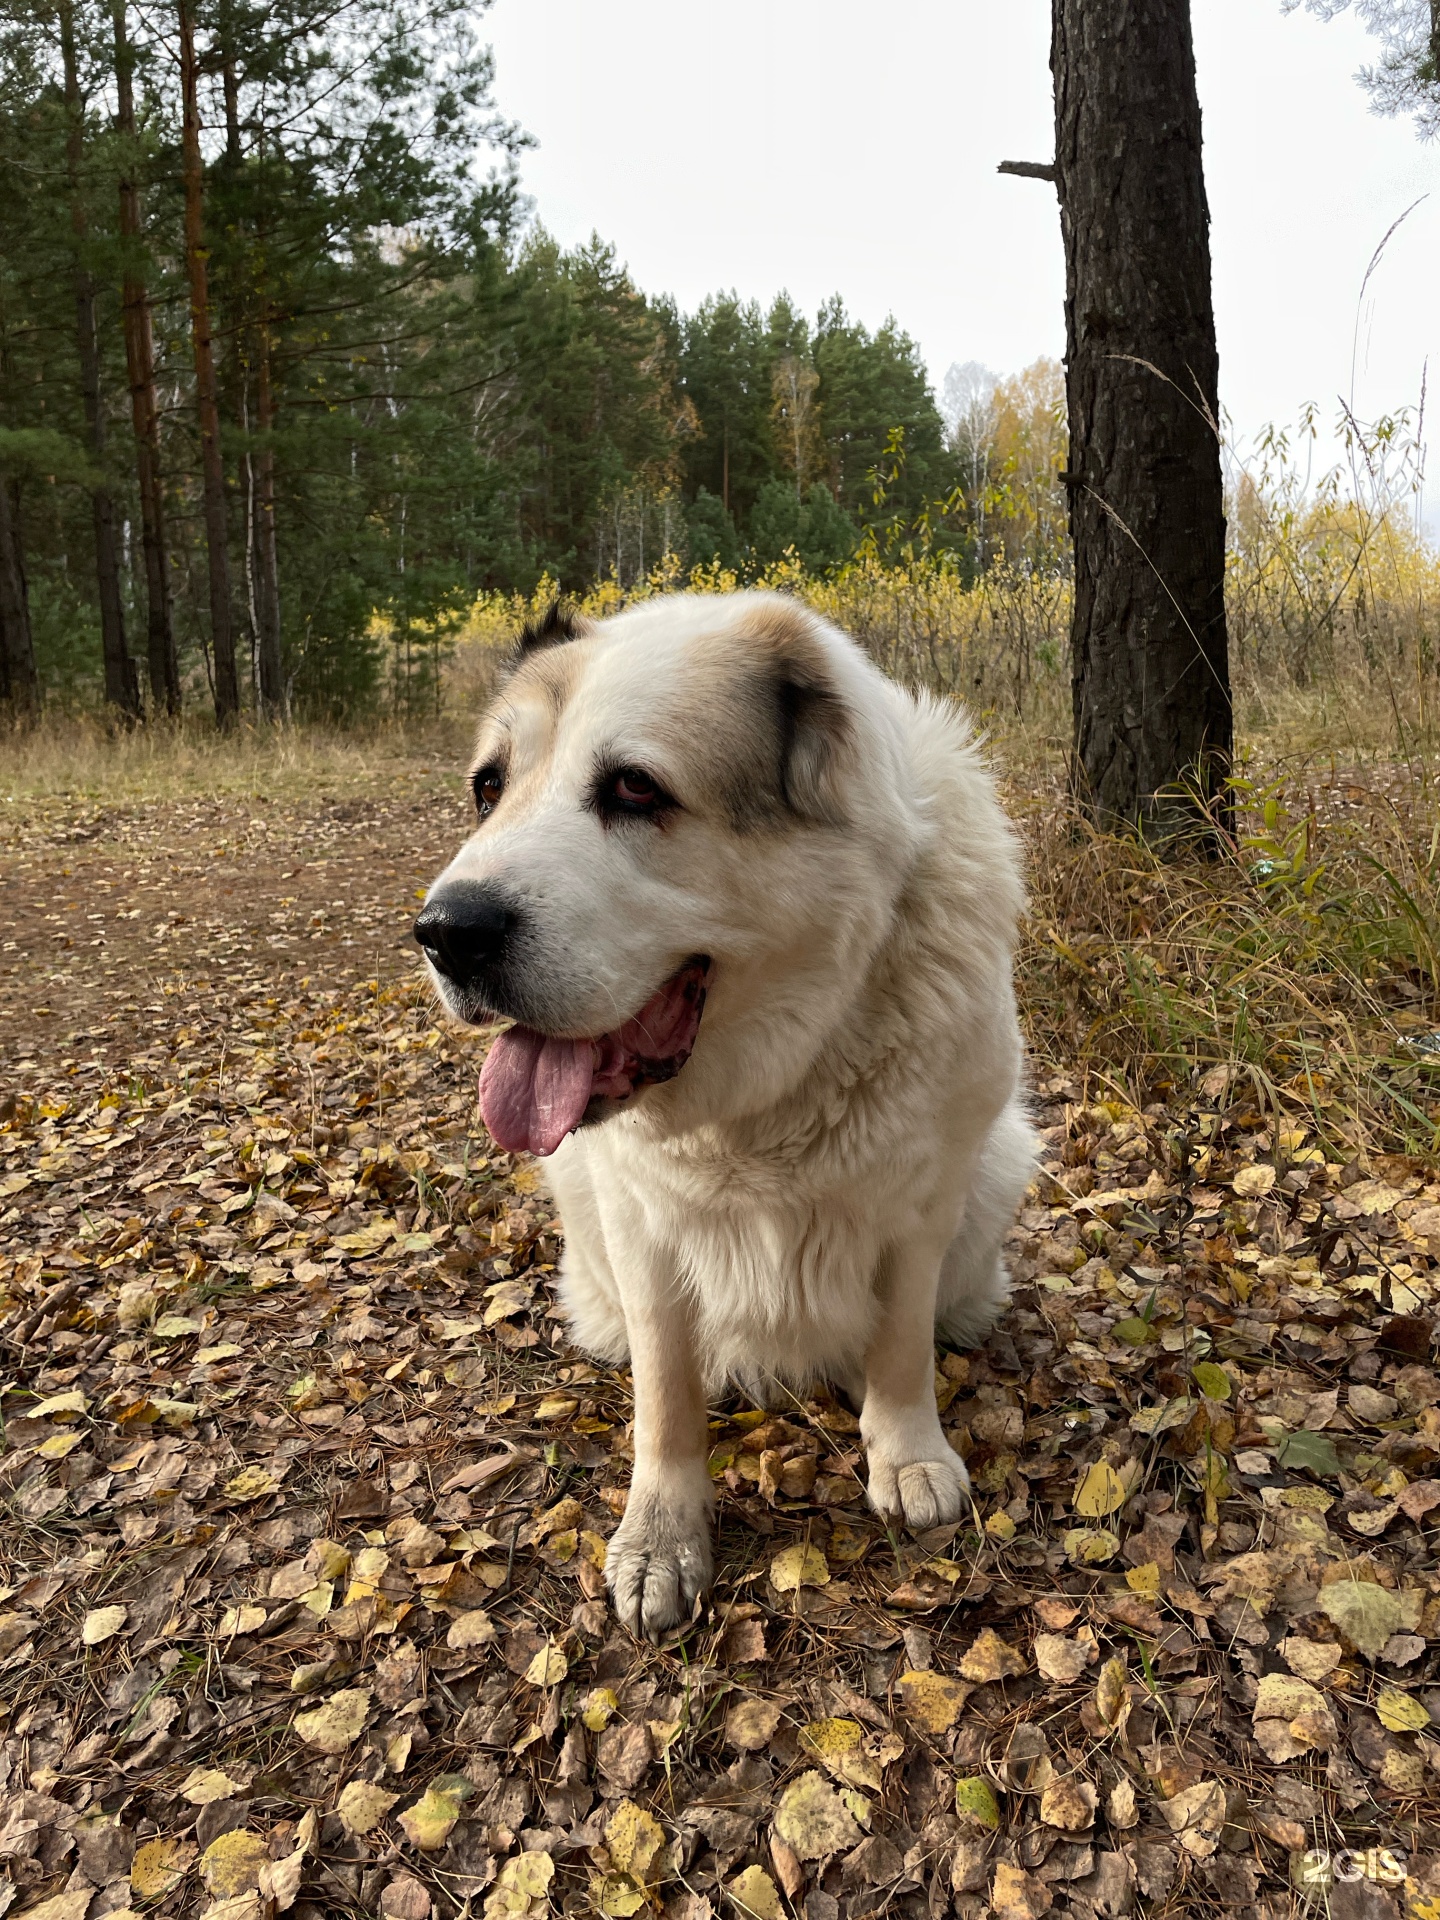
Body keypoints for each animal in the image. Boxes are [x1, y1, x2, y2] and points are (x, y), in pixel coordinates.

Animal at [416, 595, 1036, 1635]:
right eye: (488, 789)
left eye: (634, 788)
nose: (444, 931)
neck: (769, 1088)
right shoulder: (645, 1231)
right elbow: (666, 1396)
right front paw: (662, 1537)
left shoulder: (920, 1210)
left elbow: (900, 1346)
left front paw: (907, 1452)